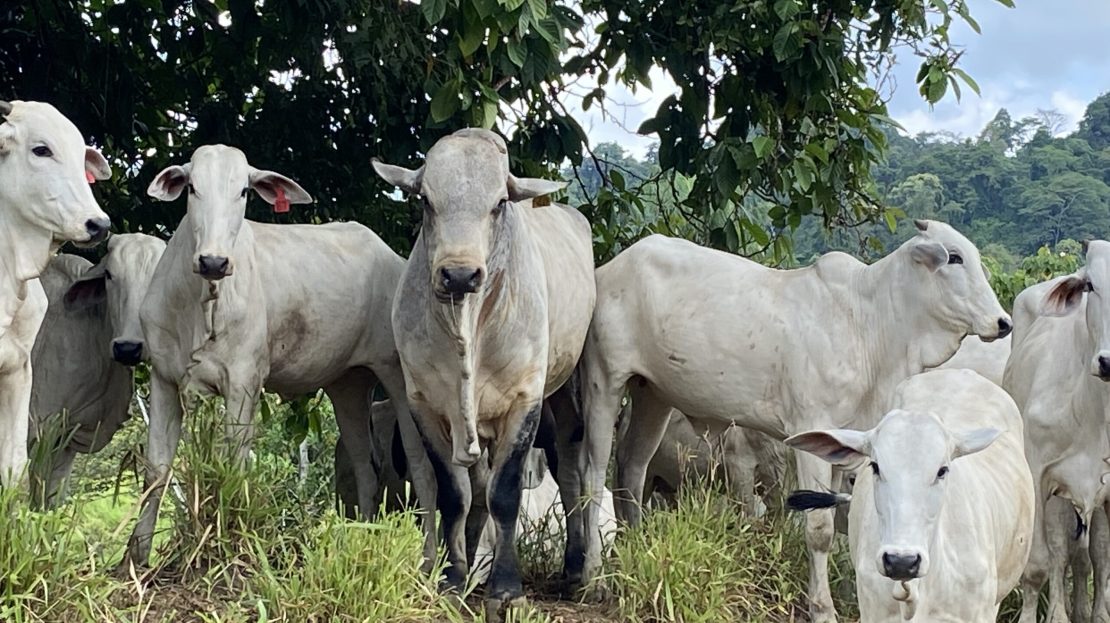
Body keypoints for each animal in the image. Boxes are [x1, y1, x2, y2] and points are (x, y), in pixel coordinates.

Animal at [122, 145, 437, 569]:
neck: (200, 306)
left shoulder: (243, 382)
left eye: (243, 191)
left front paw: (227, 547)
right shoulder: (163, 378)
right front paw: (136, 558)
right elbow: (156, 468)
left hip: (397, 376)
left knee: (421, 466)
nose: (213, 261)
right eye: (192, 188)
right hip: (348, 385)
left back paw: (431, 560)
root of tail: (392, 258)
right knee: (364, 467)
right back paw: (358, 543)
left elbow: (233, 462)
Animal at [373, 127, 595, 617]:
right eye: (426, 201)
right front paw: (453, 577)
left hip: (564, 400)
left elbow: (505, 495)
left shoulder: (524, 403)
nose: (459, 275)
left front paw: (506, 588)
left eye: (498, 203)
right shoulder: (425, 405)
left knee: (569, 477)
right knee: (476, 490)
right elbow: (456, 496)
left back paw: (574, 570)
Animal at [571, 219, 1011, 621]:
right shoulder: (809, 429)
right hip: (604, 380)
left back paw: (633, 547)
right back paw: (595, 577)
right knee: (594, 473)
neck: (869, 320)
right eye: (954, 257)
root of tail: (609, 269)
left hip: (653, 395)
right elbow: (819, 530)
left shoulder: (846, 443)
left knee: (632, 467)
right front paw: (822, 609)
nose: (1003, 322)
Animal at [1003, 240, 1110, 623]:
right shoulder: (1038, 475)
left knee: (1088, 558)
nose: (1108, 362)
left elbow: (1101, 560)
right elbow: (1039, 565)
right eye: (1090, 284)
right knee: (1062, 556)